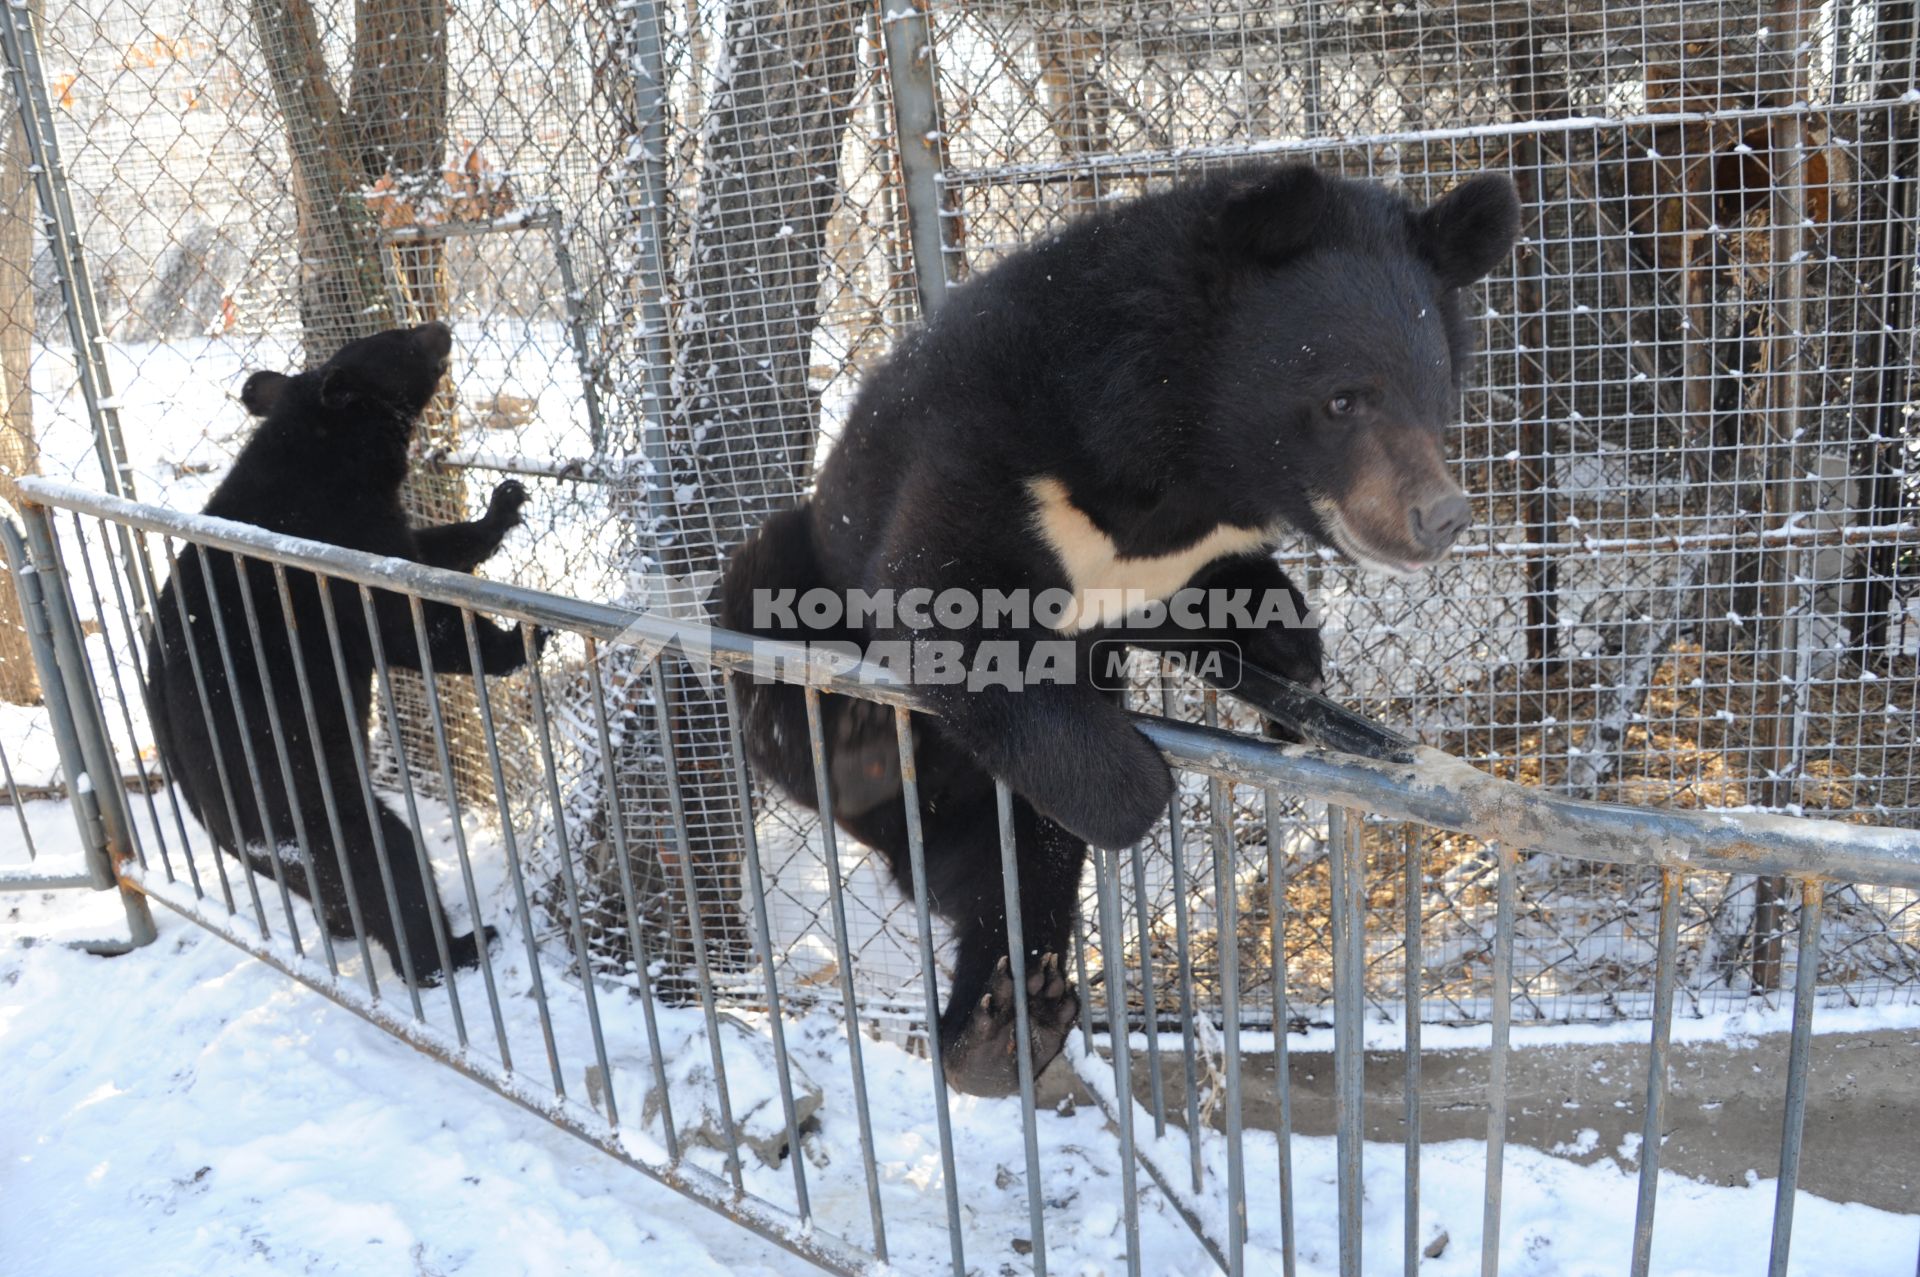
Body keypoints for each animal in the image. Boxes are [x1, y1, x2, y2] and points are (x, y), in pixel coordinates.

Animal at [144, 320, 537, 983]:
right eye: (400, 340)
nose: (441, 327)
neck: (327, 457)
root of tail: (240, 845)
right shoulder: (330, 556)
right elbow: (406, 621)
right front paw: (520, 639)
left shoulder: (371, 524)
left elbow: (428, 553)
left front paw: (504, 501)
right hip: (315, 807)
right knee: (387, 867)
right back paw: (455, 949)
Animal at [725, 164, 1520, 1090]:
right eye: (1342, 398)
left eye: (1441, 401)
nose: (1442, 518)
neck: (1184, 463)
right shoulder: (990, 444)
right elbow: (940, 595)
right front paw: (1138, 788)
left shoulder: (1183, 556)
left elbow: (1234, 604)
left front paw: (1295, 676)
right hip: (800, 561)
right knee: (770, 620)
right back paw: (850, 739)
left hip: (982, 803)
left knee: (1006, 870)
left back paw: (1000, 1024)